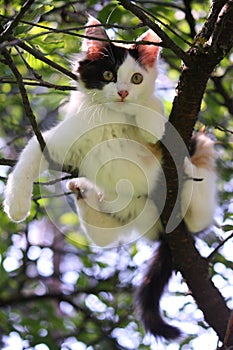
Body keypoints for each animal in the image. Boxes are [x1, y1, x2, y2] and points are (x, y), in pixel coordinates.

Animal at [3, 15, 218, 340]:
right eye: (107, 74)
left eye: (137, 79)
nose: (124, 93)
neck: (110, 118)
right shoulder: (55, 141)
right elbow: (26, 161)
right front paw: (16, 206)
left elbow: (154, 117)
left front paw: (147, 113)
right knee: (103, 237)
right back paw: (82, 192)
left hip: (199, 145)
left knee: (199, 216)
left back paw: (190, 174)